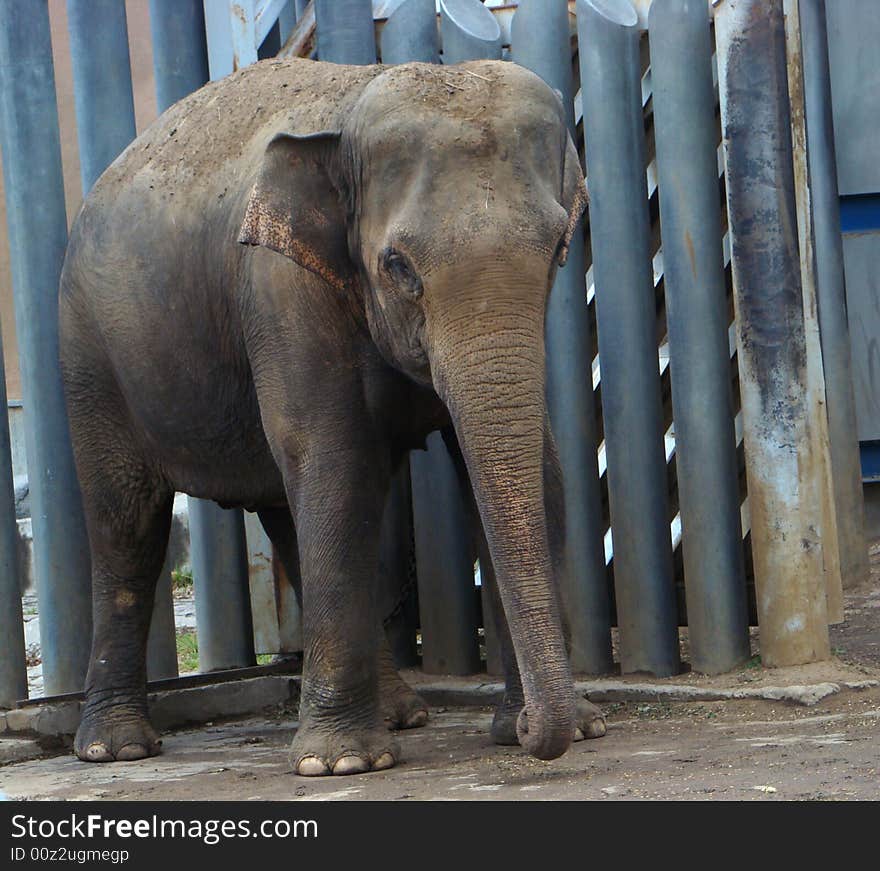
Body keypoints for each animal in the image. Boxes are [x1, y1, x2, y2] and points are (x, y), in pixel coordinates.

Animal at [56, 56, 604, 776]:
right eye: (398, 266)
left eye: (559, 246)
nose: (537, 735)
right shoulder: (279, 285)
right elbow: (338, 464)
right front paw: (340, 764)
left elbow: (540, 474)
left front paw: (568, 728)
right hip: (90, 356)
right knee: (126, 523)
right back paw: (113, 747)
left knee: (287, 511)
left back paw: (402, 712)